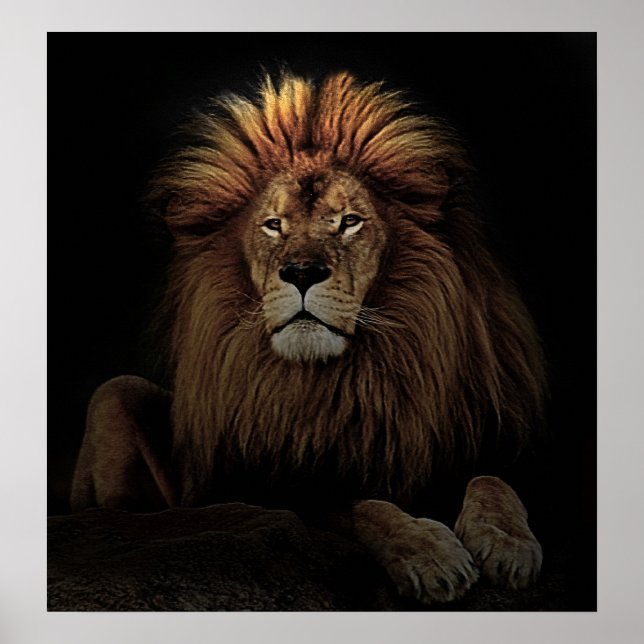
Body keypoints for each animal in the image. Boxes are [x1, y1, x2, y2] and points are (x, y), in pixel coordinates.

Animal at [71, 71, 547, 605]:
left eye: (349, 221)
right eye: (273, 225)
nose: (301, 272)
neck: (340, 381)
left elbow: (494, 480)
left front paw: (508, 545)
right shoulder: (273, 487)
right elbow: (363, 507)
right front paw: (430, 555)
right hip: (115, 394)